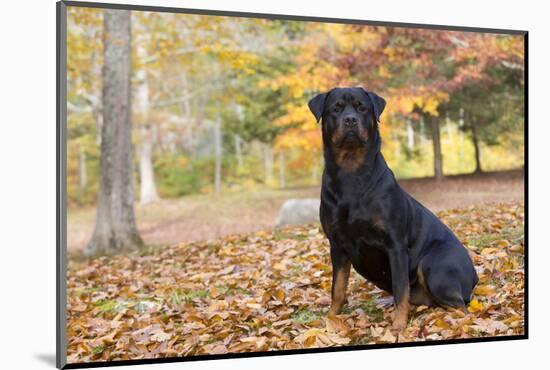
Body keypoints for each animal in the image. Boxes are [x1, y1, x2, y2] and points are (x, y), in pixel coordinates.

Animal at [308, 88, 480, 330]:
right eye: (336, 108)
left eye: (362, 108)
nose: (350, 120)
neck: (351, 173)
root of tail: (474, 275)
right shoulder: (337, 244)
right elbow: (338, 289)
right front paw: (331, 319)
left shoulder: (395, 245)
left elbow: (400, 289)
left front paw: (398, 325)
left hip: (435, 266)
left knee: (460, 307)